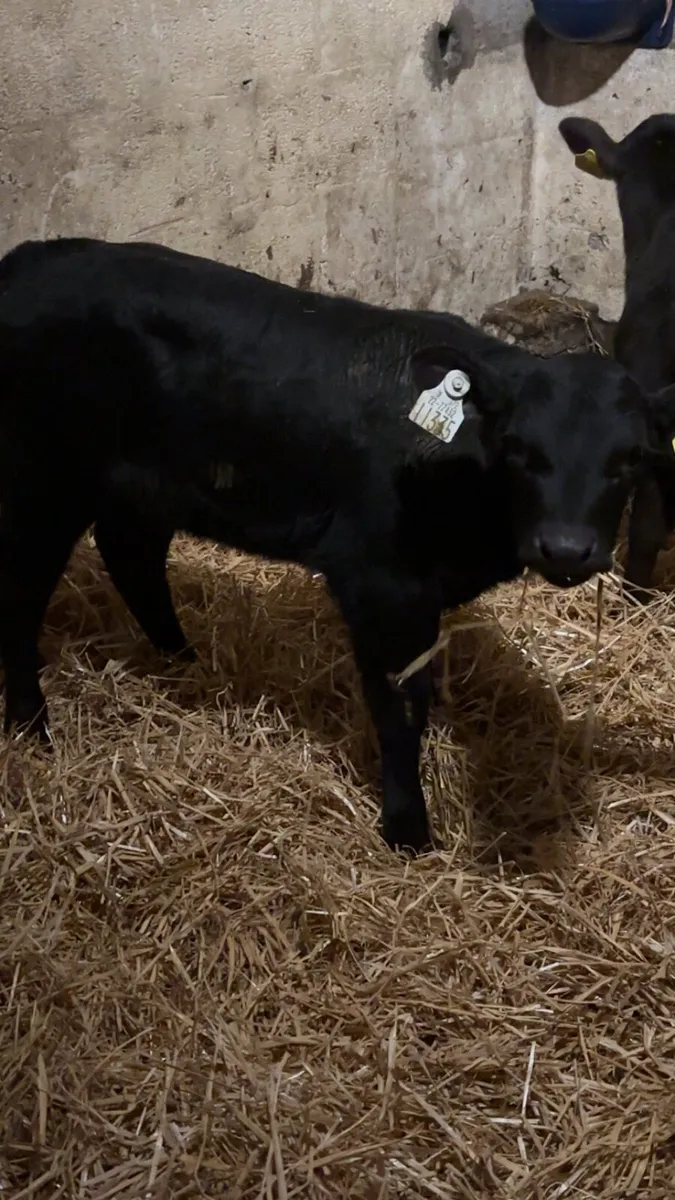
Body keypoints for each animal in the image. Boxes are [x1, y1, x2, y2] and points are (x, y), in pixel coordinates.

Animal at [0, 236, 672, 854]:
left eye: (632, 458)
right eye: (521, 450)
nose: (566, 548)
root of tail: (30, 258)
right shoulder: (381, 582)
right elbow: (399, 704)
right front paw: (408, 829)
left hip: (147, 485)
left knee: (131, 554)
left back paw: (183, 662)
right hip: (42, 482)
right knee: (24, 596)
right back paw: (33, 726)